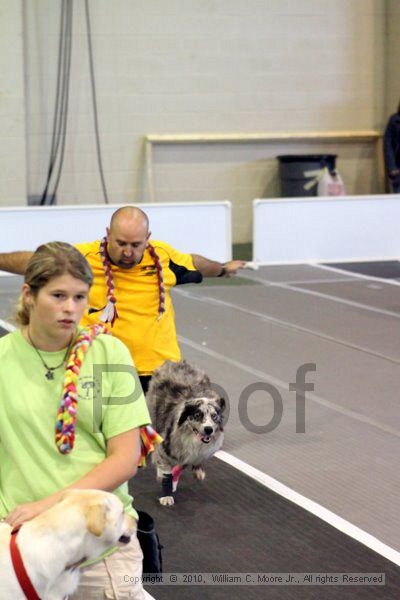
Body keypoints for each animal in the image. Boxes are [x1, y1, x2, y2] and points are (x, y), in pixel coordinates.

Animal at [146, 360, 225, 506]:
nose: (208, 429)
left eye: (214, 416)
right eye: (198, 415)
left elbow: (184, 465)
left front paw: (195, 472)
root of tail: (175, 362)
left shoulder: (197, 453)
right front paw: (167, 494)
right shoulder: (166, 448)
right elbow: (165, 470)